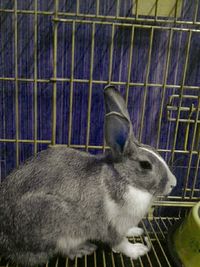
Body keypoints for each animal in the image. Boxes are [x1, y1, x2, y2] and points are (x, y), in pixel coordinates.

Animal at [0, 86, 177, 266]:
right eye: (145, 165)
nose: (173, 183)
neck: (125, 180)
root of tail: (7, 243)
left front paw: (136, 230)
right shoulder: (111, 228)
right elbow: (121, 244)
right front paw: (138, 250)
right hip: (54, 223)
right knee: (62, 250)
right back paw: (83, 249)